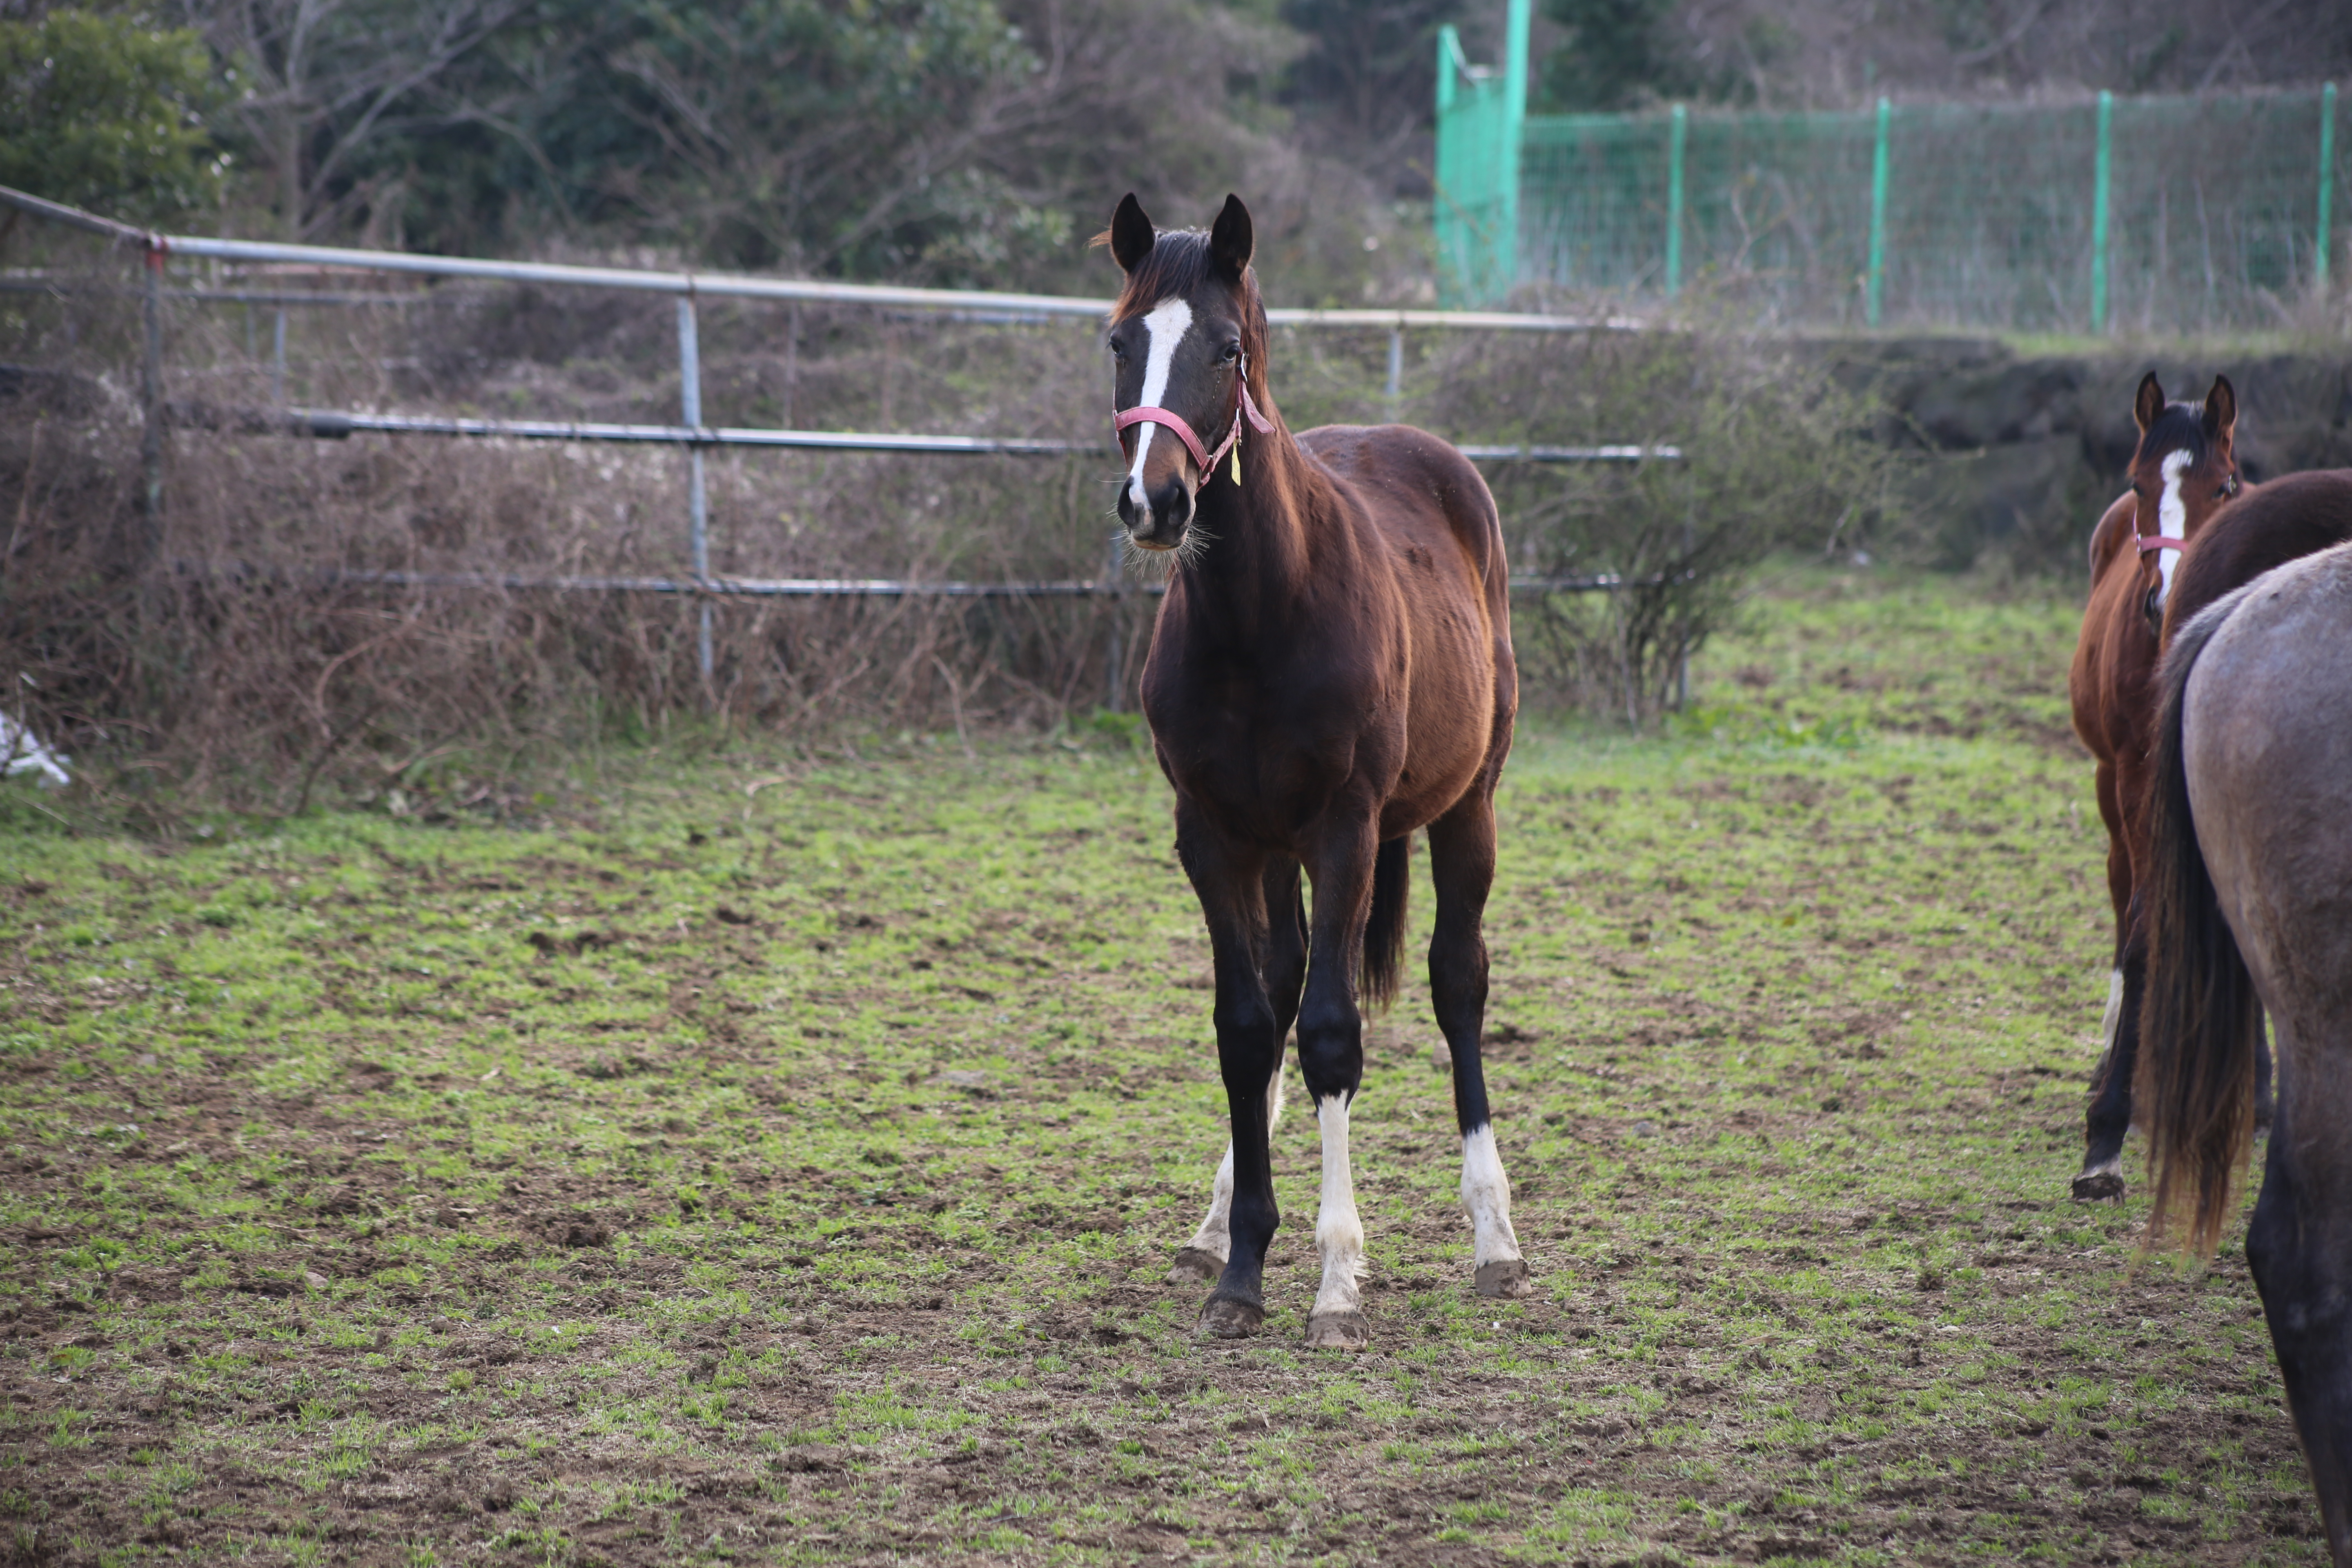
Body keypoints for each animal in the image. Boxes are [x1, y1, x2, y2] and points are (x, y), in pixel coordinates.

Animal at [1110, 193, 1533, 1354]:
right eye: (1119, 343)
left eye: (1226, 349)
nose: (1153, 503)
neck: (1260, 617)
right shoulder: (1213, 836)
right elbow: (1246, 1029)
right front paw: (1240, 1264)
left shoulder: (1344, 828)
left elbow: (1335, 1037)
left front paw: (1336, 1276)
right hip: (1279, 850)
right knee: (1286, 987)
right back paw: (1216, 1220)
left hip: (1465, 809)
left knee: (1455, 981)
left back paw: (1494, 1238)